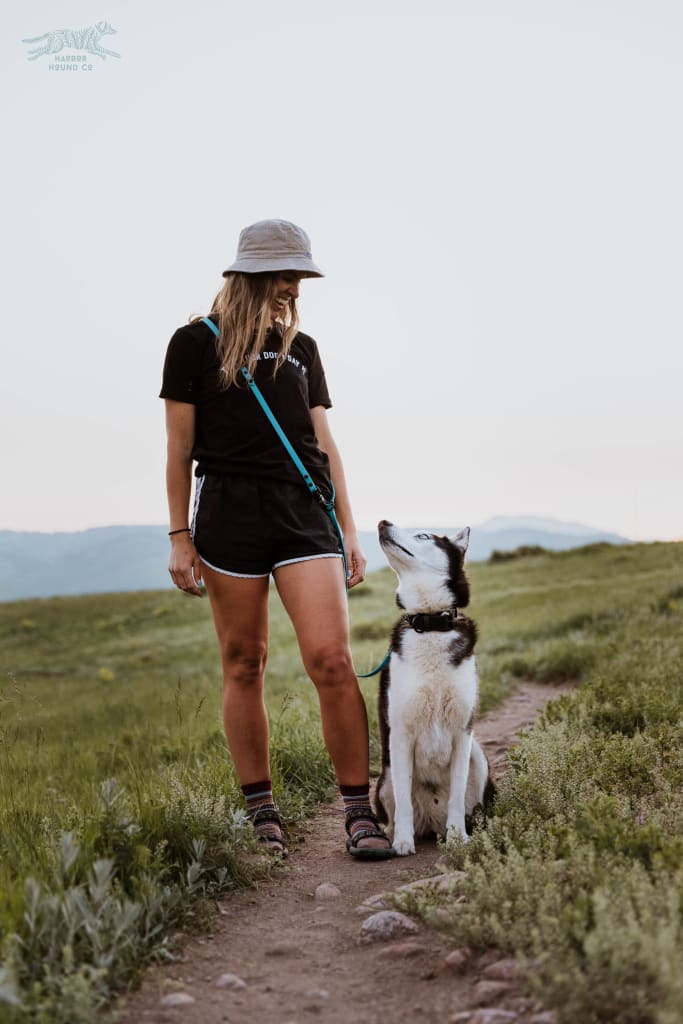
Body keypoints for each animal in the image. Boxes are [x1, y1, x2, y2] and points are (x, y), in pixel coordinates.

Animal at [376, 520, 493, 856]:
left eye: (423, 535)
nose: (382, 523)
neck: (429, 625)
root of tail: (430, 822)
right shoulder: (400, 734)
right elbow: (403, 800)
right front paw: (403, 842)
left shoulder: (462, 732)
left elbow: (456, 795)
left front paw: (458, 838)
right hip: (383, 776)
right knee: (395, 810)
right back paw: (391, 836)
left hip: (478, 754)